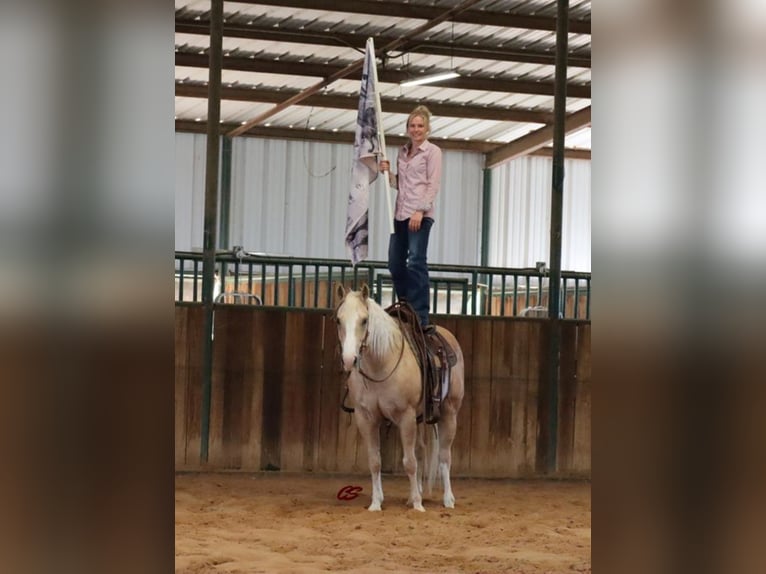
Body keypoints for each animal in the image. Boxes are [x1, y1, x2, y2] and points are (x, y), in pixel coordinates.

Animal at [336, 284, 468, 512]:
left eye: (364, 320)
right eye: (338, 320)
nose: (349, 359)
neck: (381, 365)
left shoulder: (405, 416)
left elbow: (409, 462)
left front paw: (417, 505)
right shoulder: (366, 418)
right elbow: (375, 461)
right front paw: (376, 503)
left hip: (449, 413)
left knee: (444, 456)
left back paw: (448, 499)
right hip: (421, 418)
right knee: (422, 450)